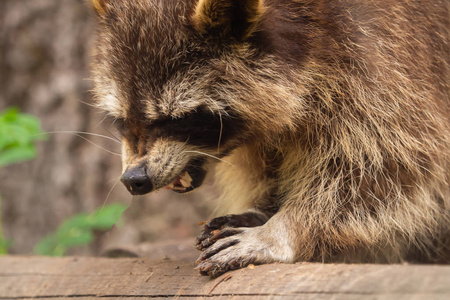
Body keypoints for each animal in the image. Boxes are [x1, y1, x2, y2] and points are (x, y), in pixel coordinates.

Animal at [89, 0, 450, 278]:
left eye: (178, 119)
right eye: (121, 120)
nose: (134, 179)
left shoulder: (382, 58)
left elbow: (390, 169)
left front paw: (282, 230)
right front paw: (263, 209)